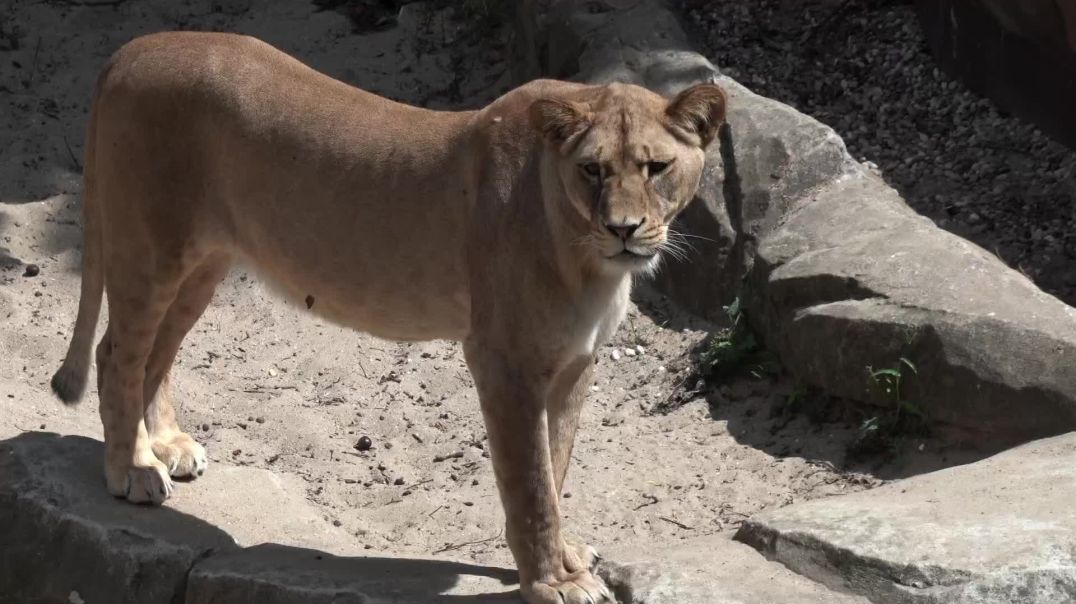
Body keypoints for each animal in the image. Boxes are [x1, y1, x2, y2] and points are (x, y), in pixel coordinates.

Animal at [49, 32, 725, 604]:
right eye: (592, 170)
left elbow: (554, 467)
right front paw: (551, 583)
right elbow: (530, 481)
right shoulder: (503, 359)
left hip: (204, 263)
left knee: (156, 353)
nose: (624, 229)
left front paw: (564, 558)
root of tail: (135, 48)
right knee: (117, 354)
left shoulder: (575, 363)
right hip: (151, 248)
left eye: (657, 167)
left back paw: (168, 447)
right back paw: (134, 471)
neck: (586, 256)